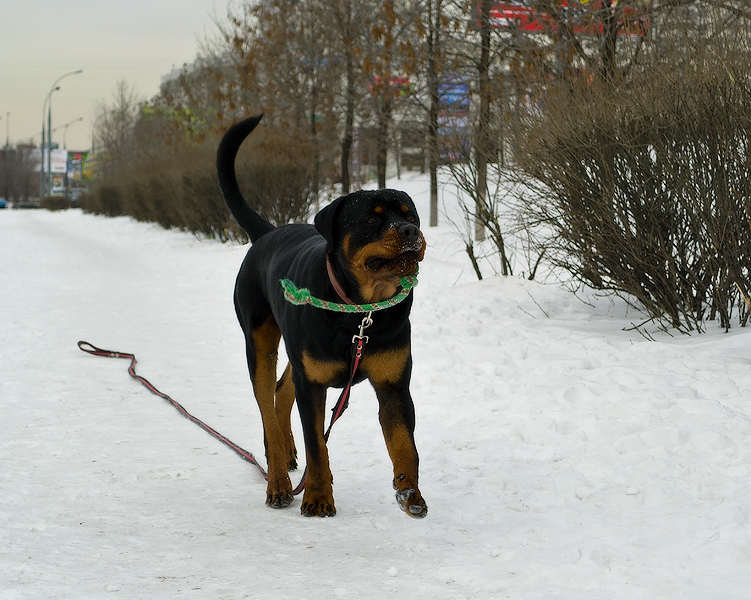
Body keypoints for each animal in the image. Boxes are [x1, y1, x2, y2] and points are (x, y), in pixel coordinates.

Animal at [217, 115, 428, 516]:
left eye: (410, 215)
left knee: (283, 390)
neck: (360, 312)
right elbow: (318, 445)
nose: (410, 230)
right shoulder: (313, 384)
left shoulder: (393, 384)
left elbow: (405, 445)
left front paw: (410, 493)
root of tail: (267, 234)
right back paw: (278, 479)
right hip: (259, 343)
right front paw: (316, 496)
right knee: (268, 409)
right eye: (372, 220)